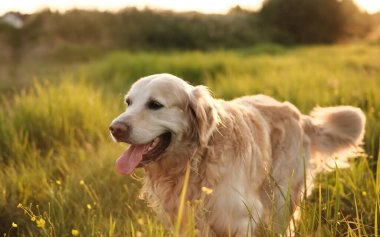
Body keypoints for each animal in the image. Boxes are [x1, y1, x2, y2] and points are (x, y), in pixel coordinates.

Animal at [109, 73, 366, 236]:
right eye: (128, 102)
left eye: (155, 104)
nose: (114, 129)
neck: (197, 159)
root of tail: (298, 115)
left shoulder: (238, 221)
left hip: (281, 198)